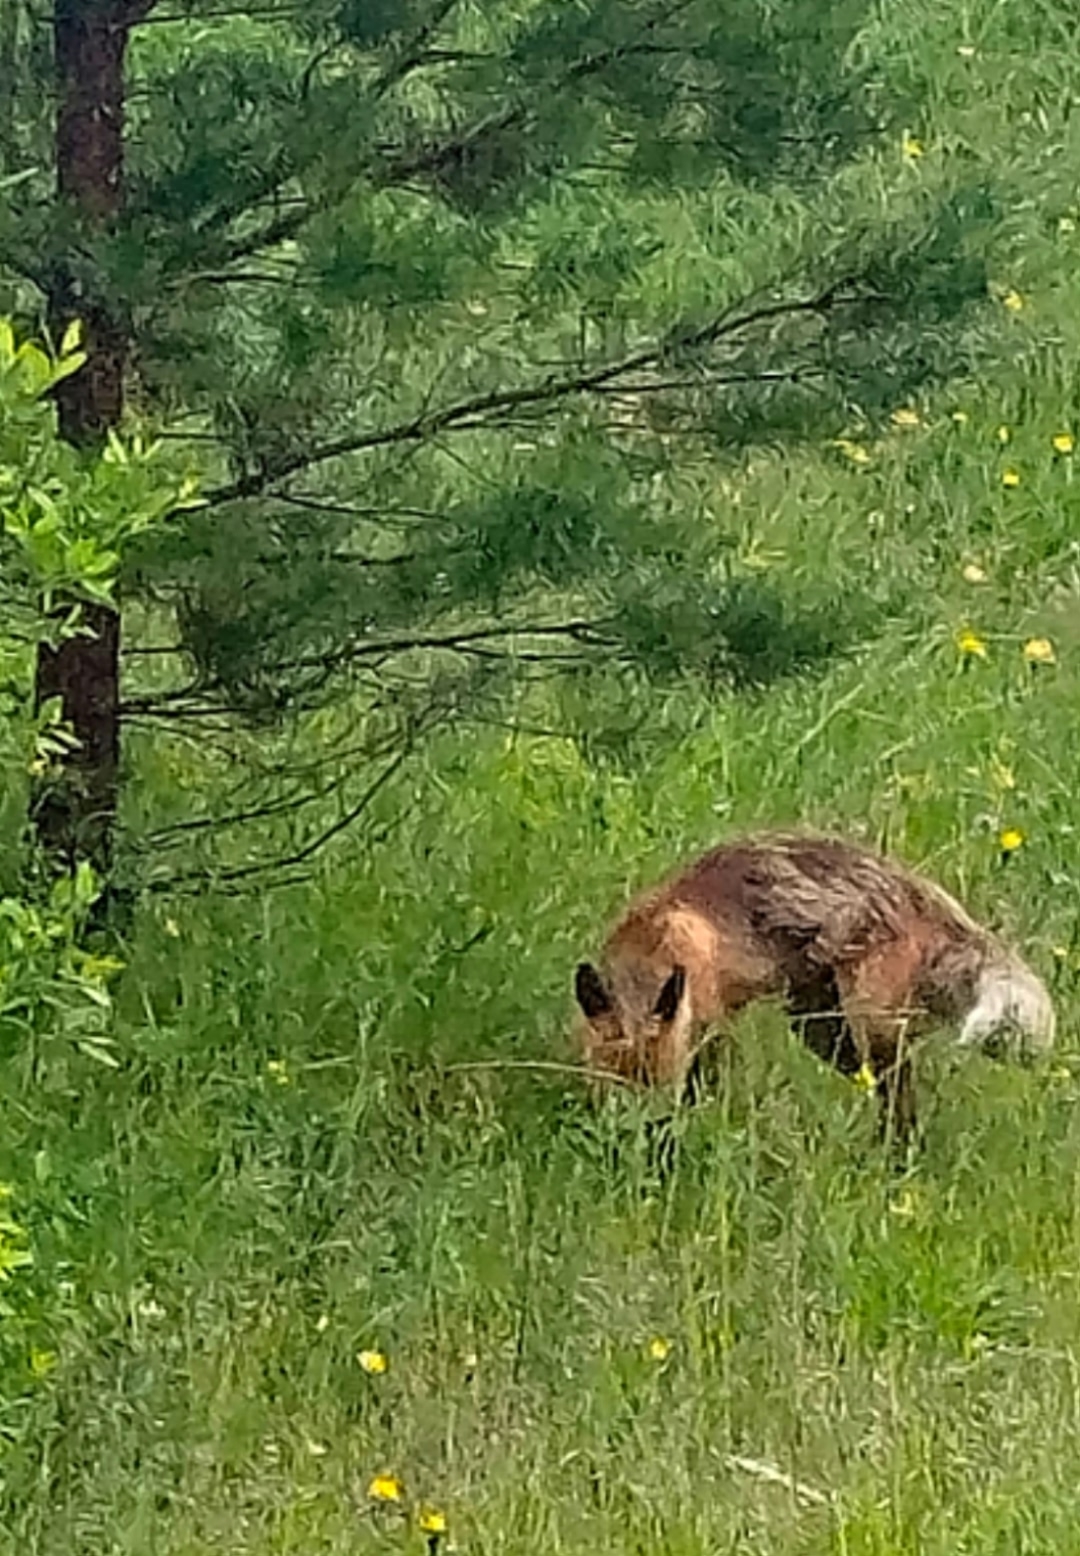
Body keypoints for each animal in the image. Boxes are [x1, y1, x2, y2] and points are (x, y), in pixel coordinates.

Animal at [574, 832, 1055, 1139]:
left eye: (658, 1086)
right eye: (614, 1087)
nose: (641, 1133)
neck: (652, 943)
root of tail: (912, 888)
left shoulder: (711, 1024)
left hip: (868, 1025)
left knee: (900, 1100)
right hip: (820, 1028)